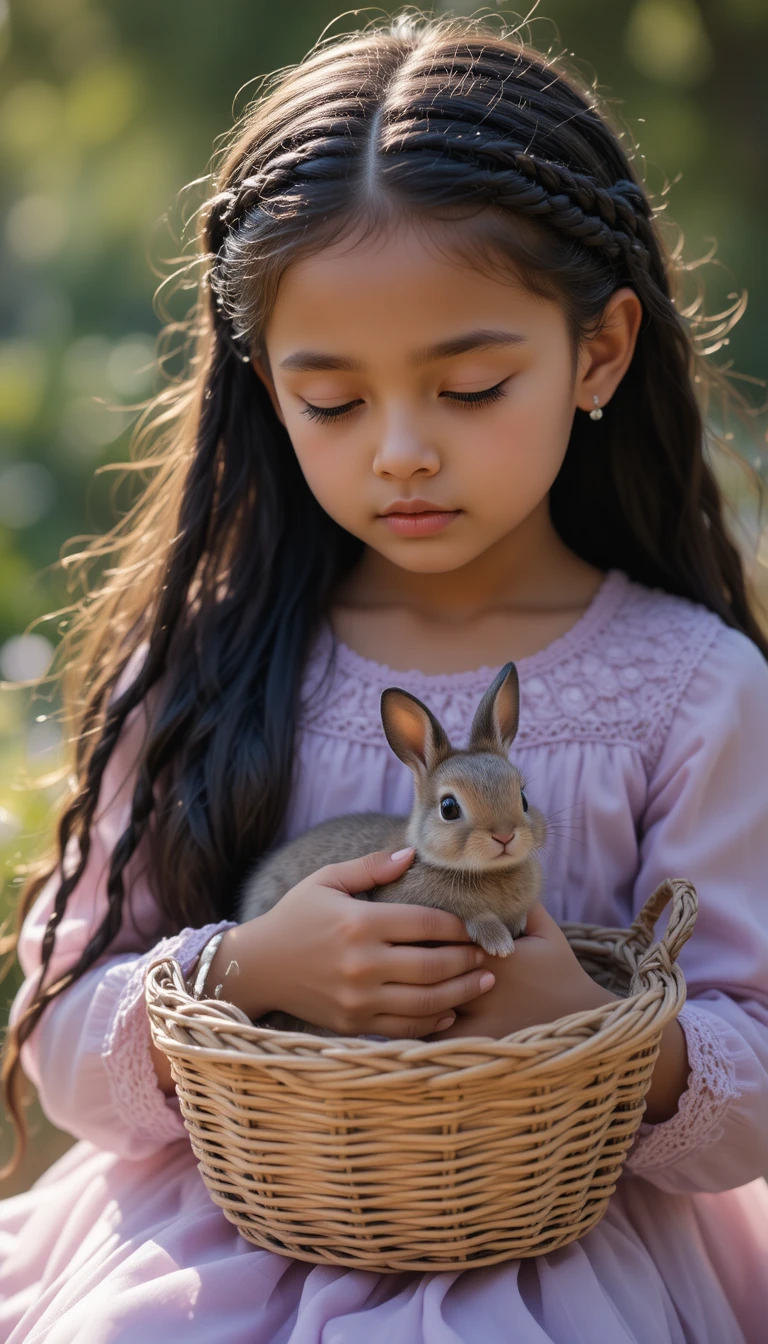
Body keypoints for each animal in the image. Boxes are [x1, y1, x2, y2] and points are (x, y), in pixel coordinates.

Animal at [236, 661, 547, 1032]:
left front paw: (516, 925)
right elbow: (473, 915)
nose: (504, 835)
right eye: (449, 808)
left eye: (523, 798)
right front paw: (499, 942)